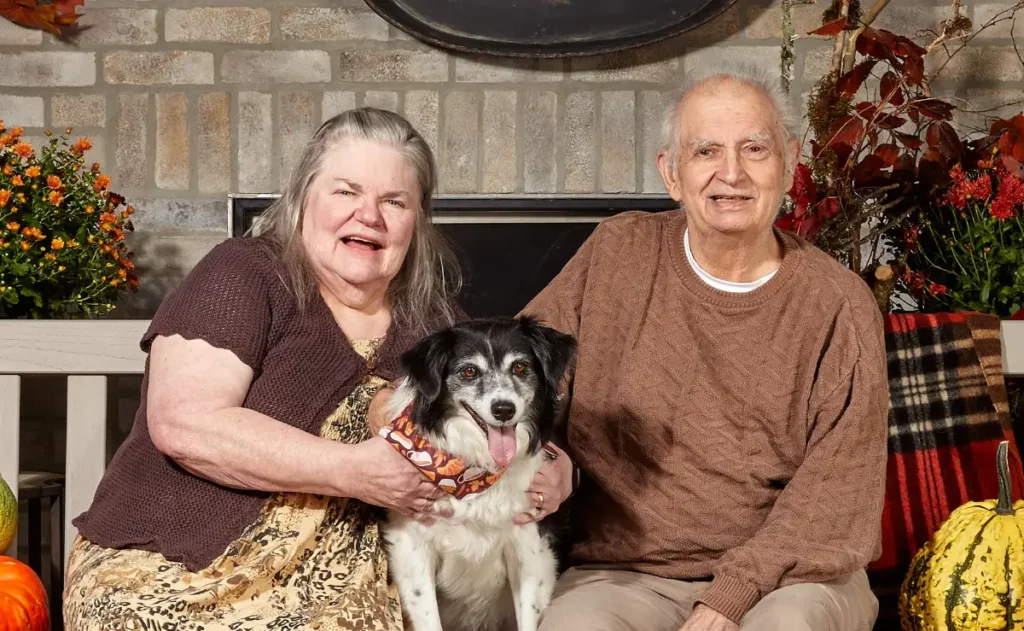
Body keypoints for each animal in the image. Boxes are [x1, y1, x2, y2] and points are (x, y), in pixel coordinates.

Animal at [382, 317, 577, 631]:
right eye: (469, 371)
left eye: (520, 367)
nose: (504, 409)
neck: (475, 472)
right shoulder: (412, 547)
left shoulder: (530, 548)